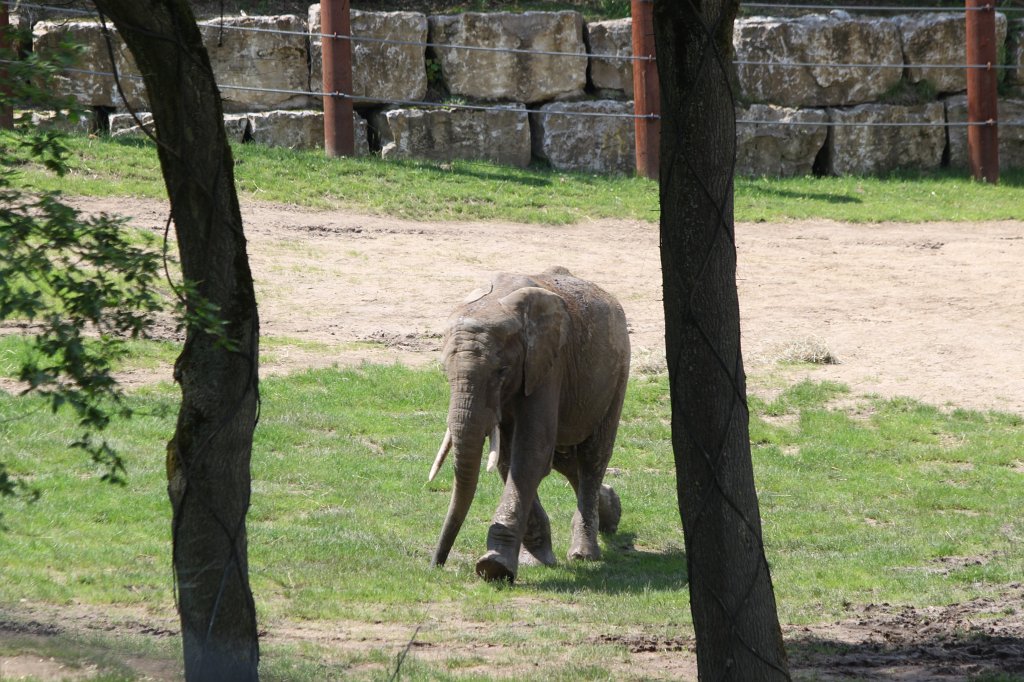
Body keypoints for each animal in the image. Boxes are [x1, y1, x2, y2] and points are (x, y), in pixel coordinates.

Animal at [428, 266, 630, 582]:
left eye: (501, 371)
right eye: (446, 371)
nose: (436, 564)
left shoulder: (547, 363)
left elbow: (530, 452)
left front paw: (494, 567)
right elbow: (510, 458)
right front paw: (535, 561)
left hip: (618, 371)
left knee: (592, 458)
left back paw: (584, 554)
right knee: (565, 461)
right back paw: (612, 508)